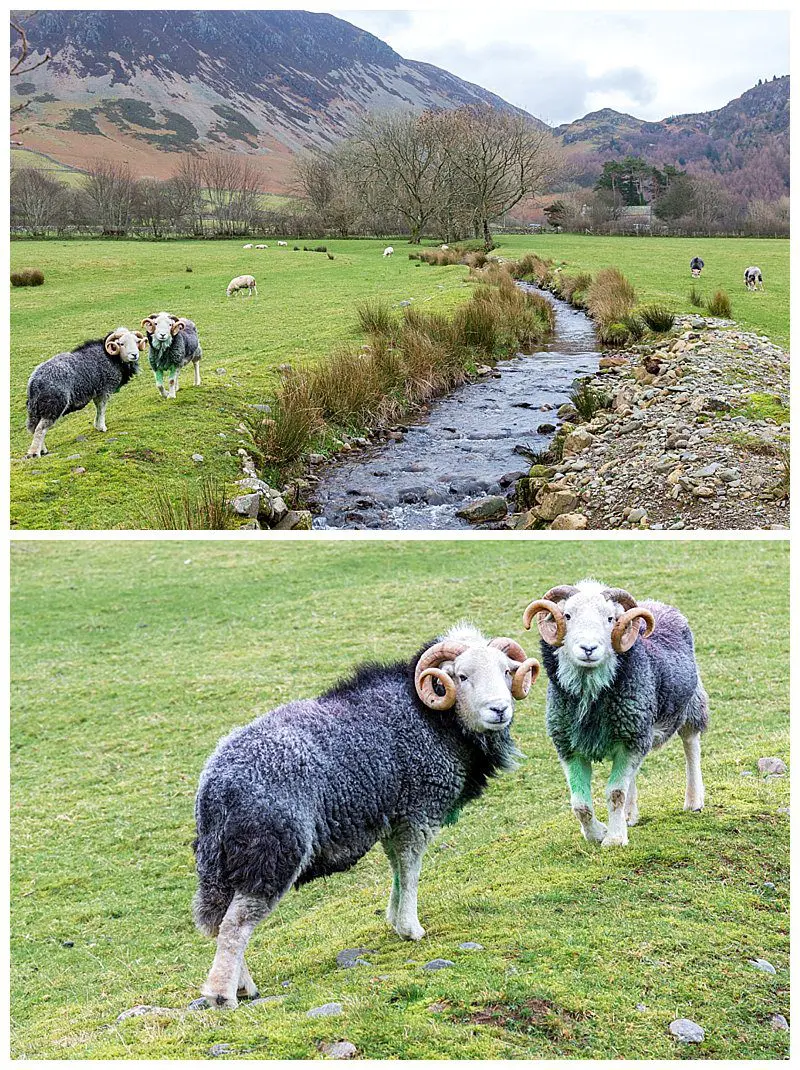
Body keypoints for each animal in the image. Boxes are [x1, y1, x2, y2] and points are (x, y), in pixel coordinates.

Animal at [24, 325, 143, 460]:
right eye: (121, 343)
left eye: (137, 341)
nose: (134, 355)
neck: (111, 357)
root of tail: (34, 382)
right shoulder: (104, 390)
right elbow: (101, 408)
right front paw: (102, 427)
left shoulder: (98, 392)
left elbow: (98, 408)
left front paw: (97, 426)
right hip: (54, 405)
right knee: (40, 429)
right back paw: (35, 453)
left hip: (35, 408)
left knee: (34, 428)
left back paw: (42, 449)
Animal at [192, 624, 536, 1005]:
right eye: (462, 675)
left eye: (506, 671)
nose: (499, 710)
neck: (432, 718)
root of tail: (217, 787)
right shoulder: (418, 811)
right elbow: (411, 868)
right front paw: (411, 929)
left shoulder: (393, 816)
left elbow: (397, 868)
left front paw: (395, 920)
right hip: (272, 851)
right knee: (236, 923)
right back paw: (223, 994)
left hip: (222, 861)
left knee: (219, 919)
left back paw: (244, 984)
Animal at [524, 582, 705, 847]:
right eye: (567, 615)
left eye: (610, 618)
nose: (588, 648)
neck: (591, 701)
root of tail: (657, 603)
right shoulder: (568, 746)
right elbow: (580, 804)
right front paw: (596, 833)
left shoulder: (630, 740)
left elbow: (616, 793)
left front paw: (615, 839)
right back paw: (630, 815)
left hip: (690, 705)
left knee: (691, 746)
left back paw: (693, 801)